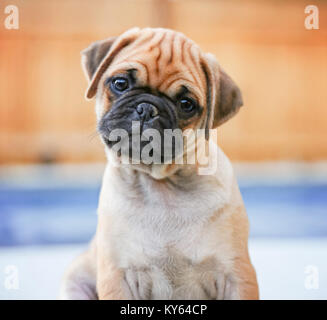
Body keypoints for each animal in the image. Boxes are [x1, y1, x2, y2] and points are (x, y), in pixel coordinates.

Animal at [58, 27, 258, 300]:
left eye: (186, 104)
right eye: (120, 84)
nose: (146, 108)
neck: (162, 183)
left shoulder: (236, 274)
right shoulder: (117, 276)